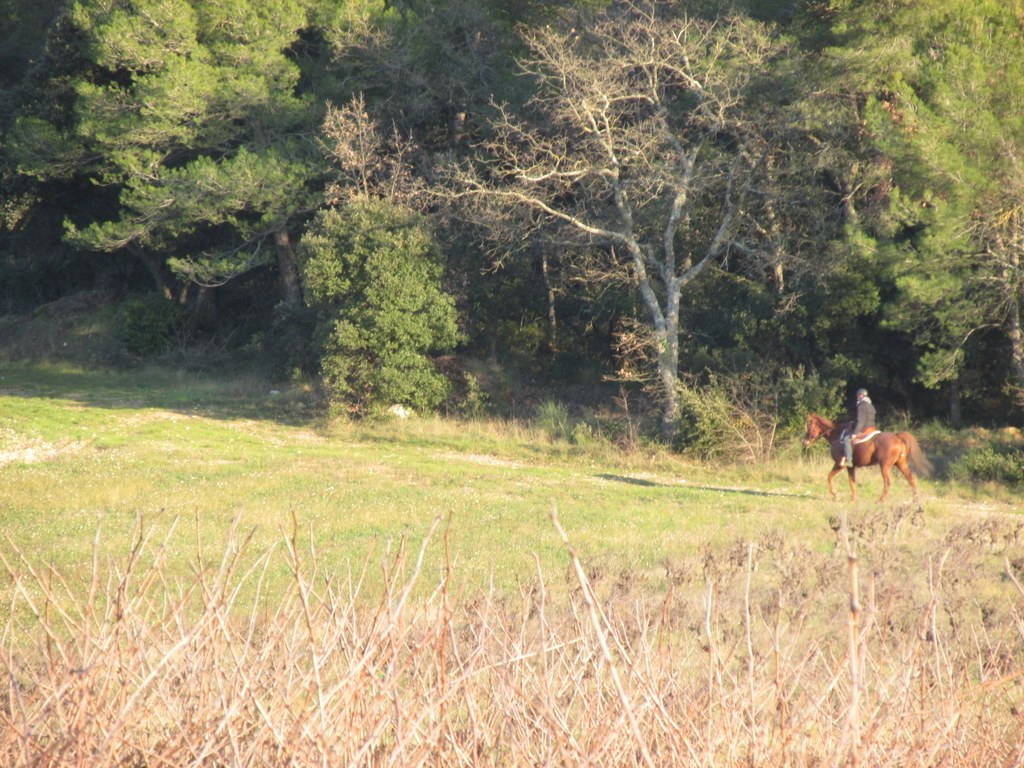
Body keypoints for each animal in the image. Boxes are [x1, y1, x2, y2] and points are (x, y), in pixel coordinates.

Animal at [802, 415, 933, 505]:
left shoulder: (839, 465)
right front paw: (853, 499)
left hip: (885, 466)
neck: (837, 436)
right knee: (911, 479)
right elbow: (852, 482)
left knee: (888, 482)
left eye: (810, 427)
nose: (805, 442)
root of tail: (897, 437)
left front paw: (835, 494)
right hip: (900, 464)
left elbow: (829, 477)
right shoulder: (851, 467)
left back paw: (880, 500)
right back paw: (915, 500)